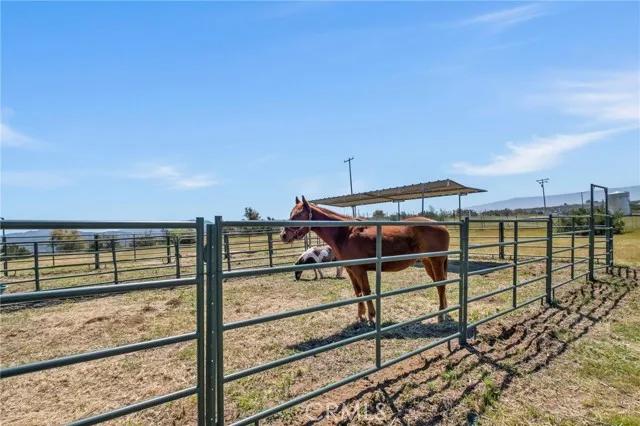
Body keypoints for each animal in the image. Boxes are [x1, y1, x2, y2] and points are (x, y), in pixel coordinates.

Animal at [280, 196, 450, 322]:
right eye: (291, 214)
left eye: (297, 216)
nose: (283, 235)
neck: (344, 233)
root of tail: (443, 226)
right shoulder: (350, 270)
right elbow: (358, 292)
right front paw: (360, 316)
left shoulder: (359, 269)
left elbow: (367, 291)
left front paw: (371, 316)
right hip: (428, 262)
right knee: (439, 283)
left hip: (436, 261)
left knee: (441, 284)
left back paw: (441, 315)